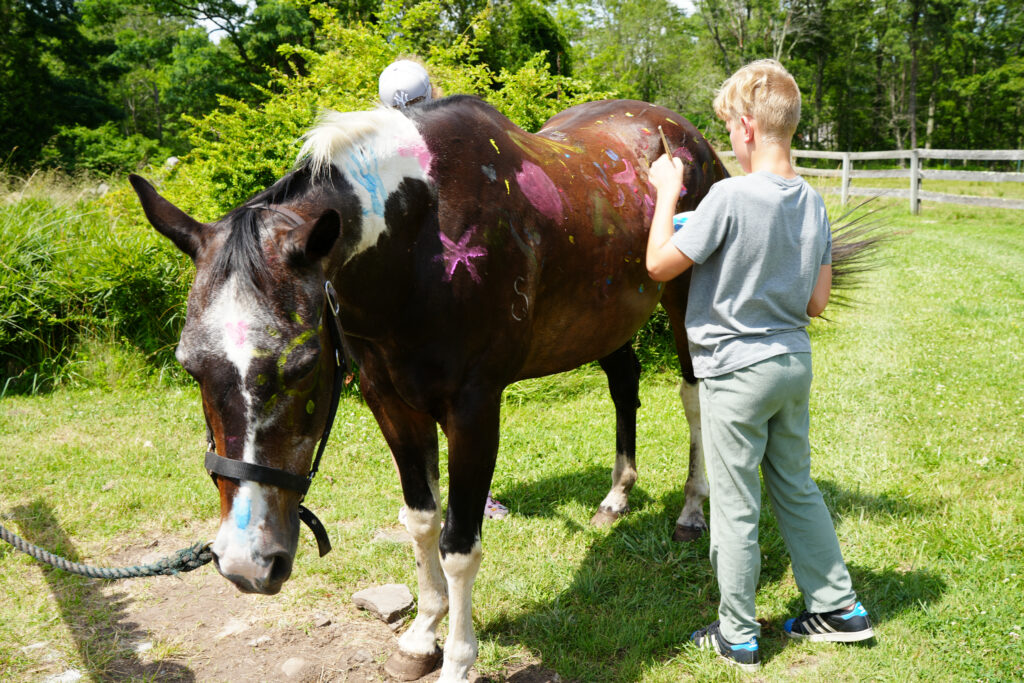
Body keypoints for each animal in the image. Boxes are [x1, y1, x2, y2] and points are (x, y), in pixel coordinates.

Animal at [129, 95, 730, 681]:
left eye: (302, 365)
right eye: (190, 366)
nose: (246, 564)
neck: (417, 246)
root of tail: (683, 132)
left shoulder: (474, 410)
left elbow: (459, 545)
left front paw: (459, 661)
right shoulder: (390, 403)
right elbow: (421, 521)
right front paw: (422, 635)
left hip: (681, 298)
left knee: (693, 397)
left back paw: (691, 512)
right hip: (606, 318)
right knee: (624, 385)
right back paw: (616, 496)